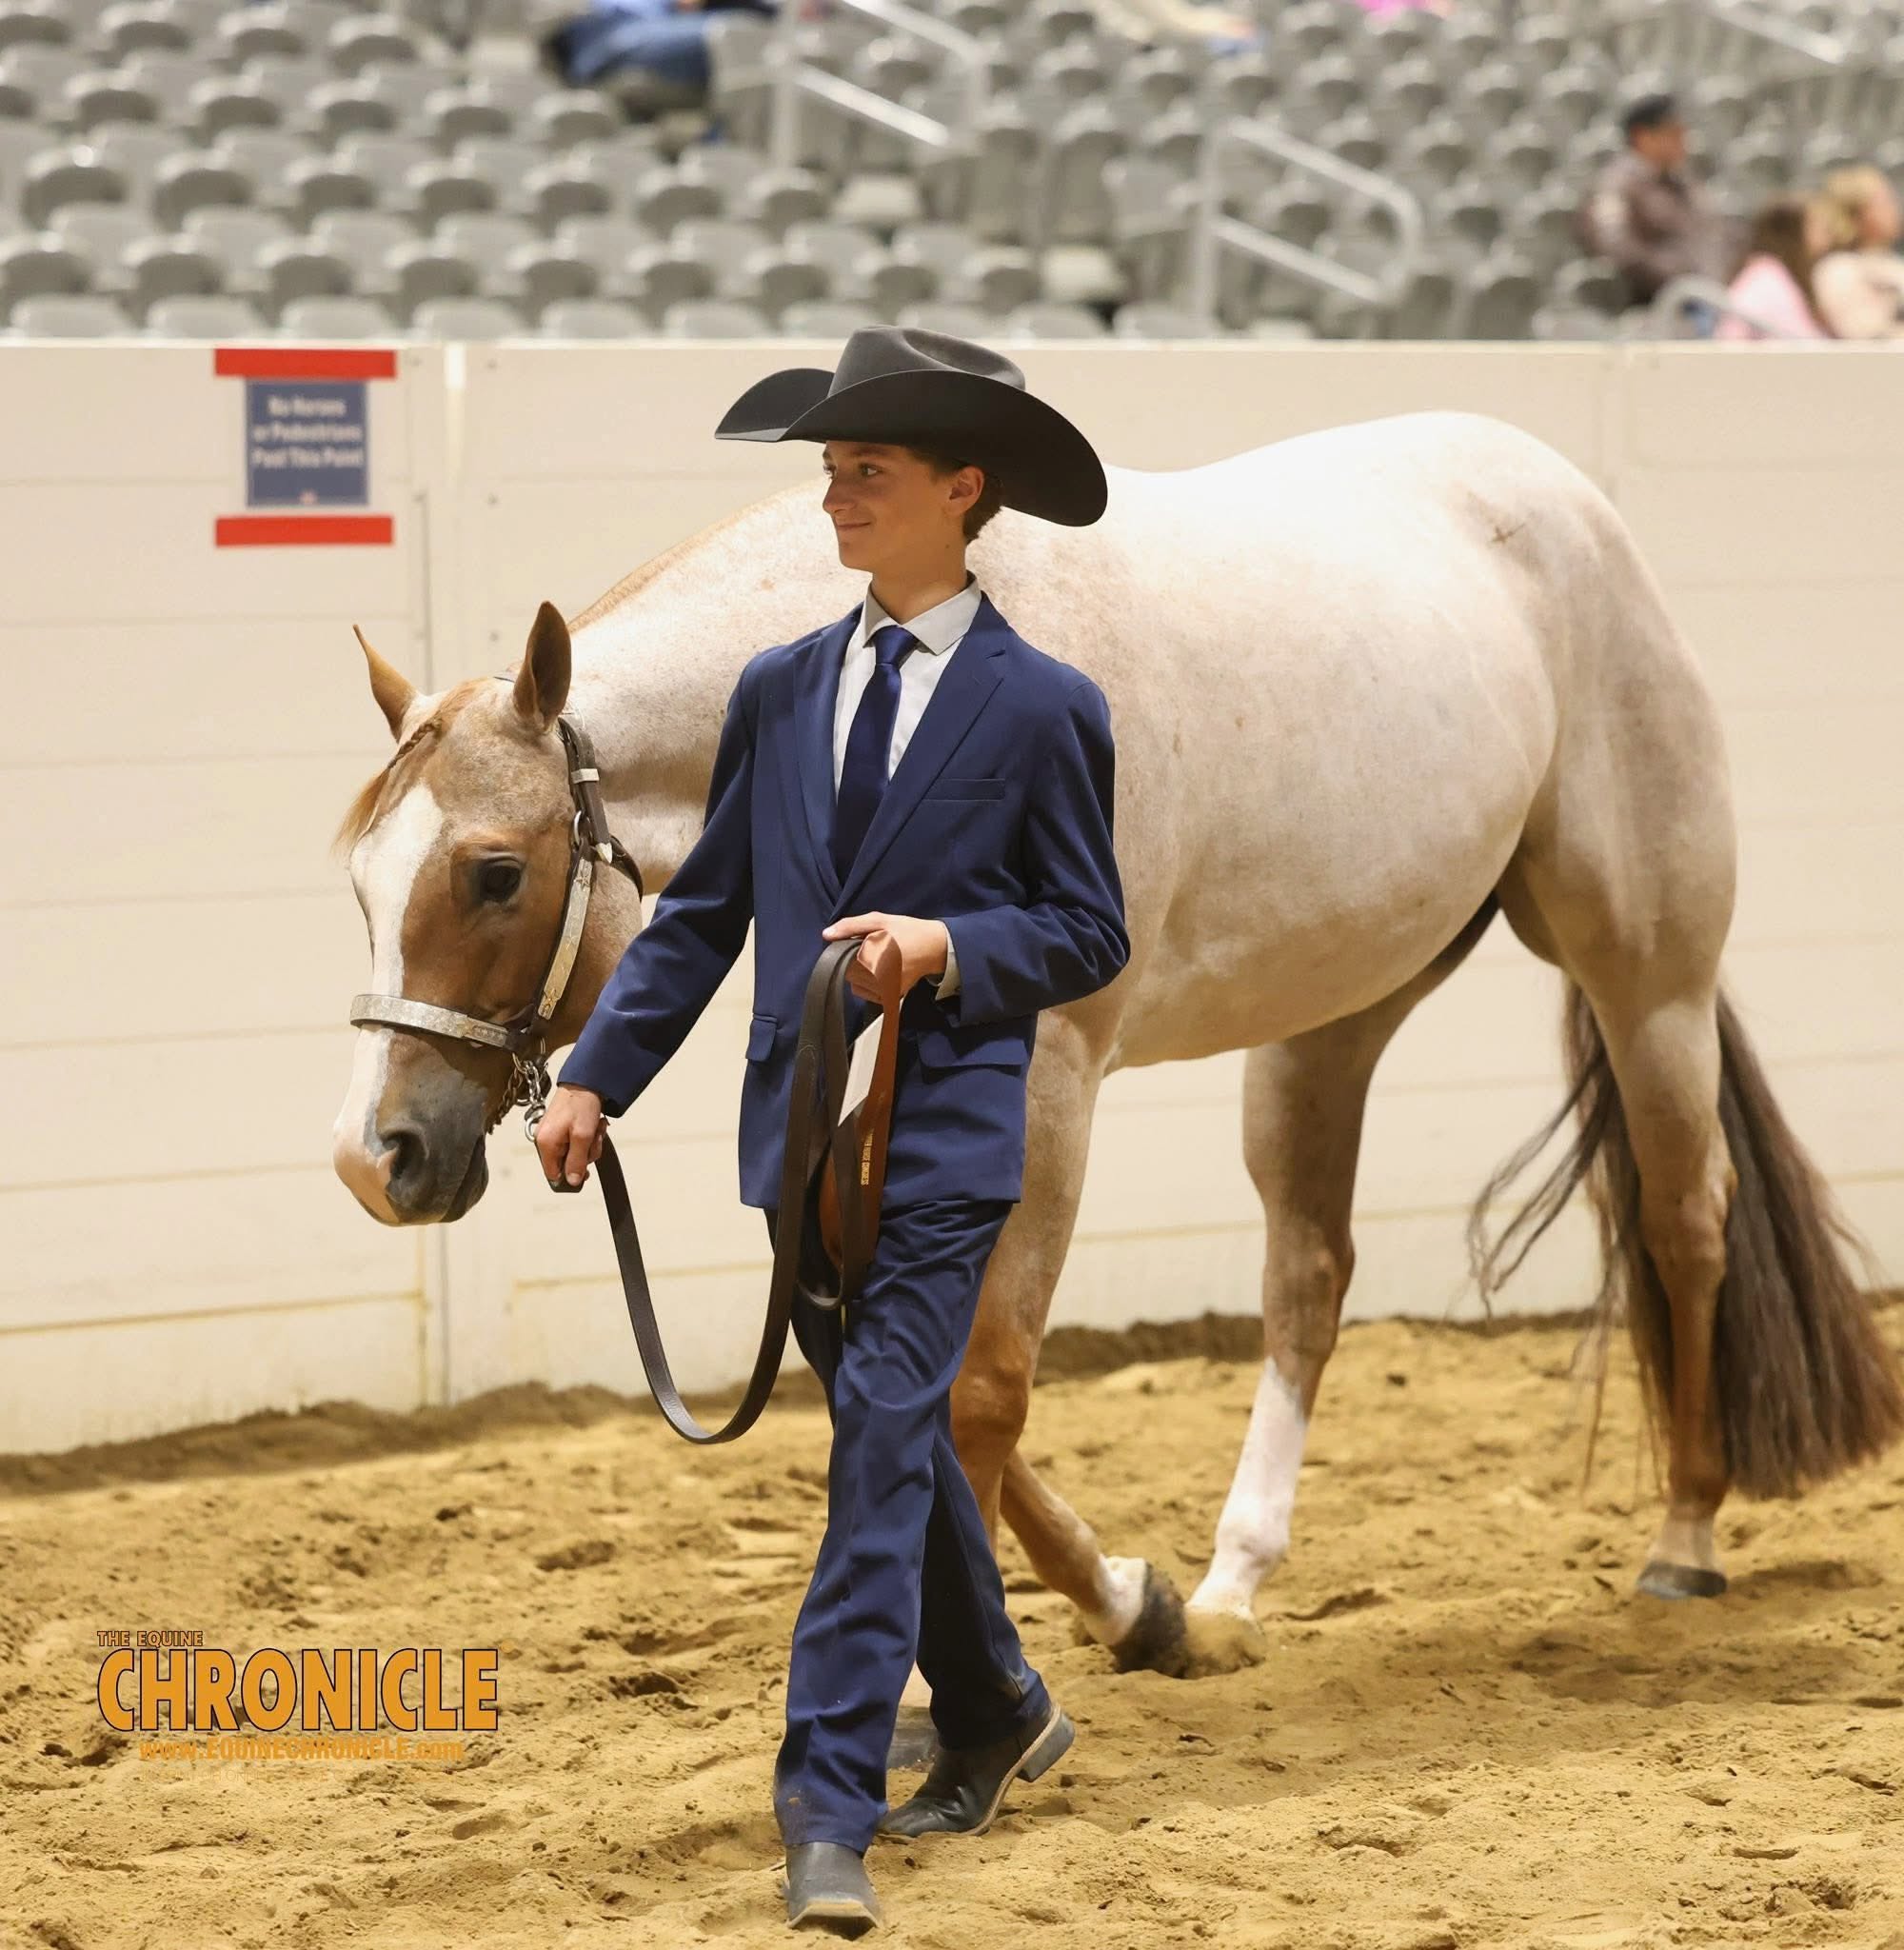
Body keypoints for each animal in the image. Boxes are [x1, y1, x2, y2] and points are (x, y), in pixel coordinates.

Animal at [330, 408, 1904, 1677]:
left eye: (493, 873)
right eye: (358, 875)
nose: (374, 1159)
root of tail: (1573, 505)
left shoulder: (1049, 1082)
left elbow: (980, 1390)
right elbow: (902, 1371)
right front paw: (1133, 1606)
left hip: (1649, 974)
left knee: (1686, 1219)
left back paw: (1685, 1539)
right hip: (1335, 1013)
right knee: (1309, 1278)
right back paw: (1230, 1586)